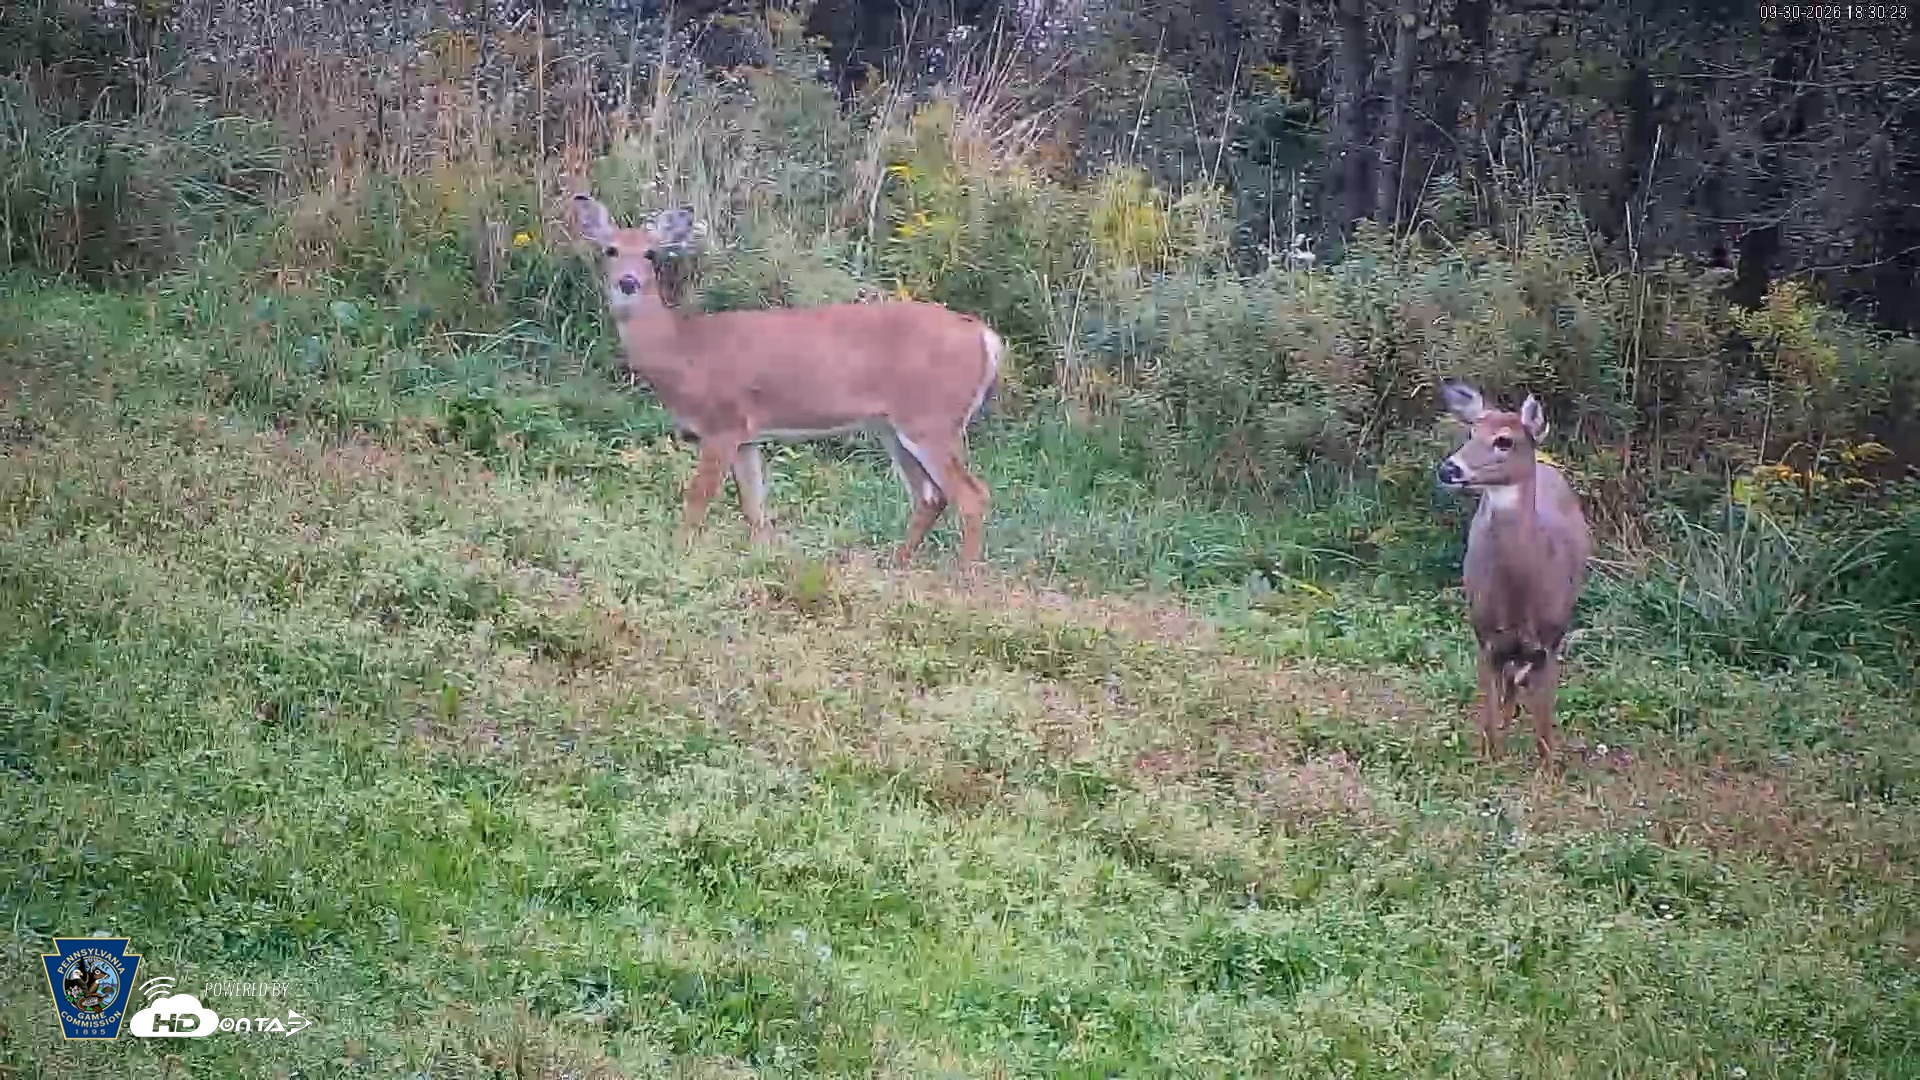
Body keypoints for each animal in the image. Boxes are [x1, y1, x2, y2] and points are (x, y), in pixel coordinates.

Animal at [570, 192, 1003, 568]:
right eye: (610, 250)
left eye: (650, 253)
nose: (628, 282)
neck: (684, 350)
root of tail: (985, 337)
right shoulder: (746, 435)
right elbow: (753, 506)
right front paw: (765, 560)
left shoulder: (721, 422)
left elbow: (698, 499)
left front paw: (677, 554)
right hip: (894, 427)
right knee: (931, 496)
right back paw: (896, 564)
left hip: (932, 419)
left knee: (972, 495)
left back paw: (965, 578)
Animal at [1436, 380, 1592, 769]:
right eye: (1471, 432)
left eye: (1504, 440)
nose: (1449, 470)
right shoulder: (1483, 636)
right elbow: (1489, 718)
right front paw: (1492, 758)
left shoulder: (1551, 640)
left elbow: (1545, 723)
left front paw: (1548, 769)